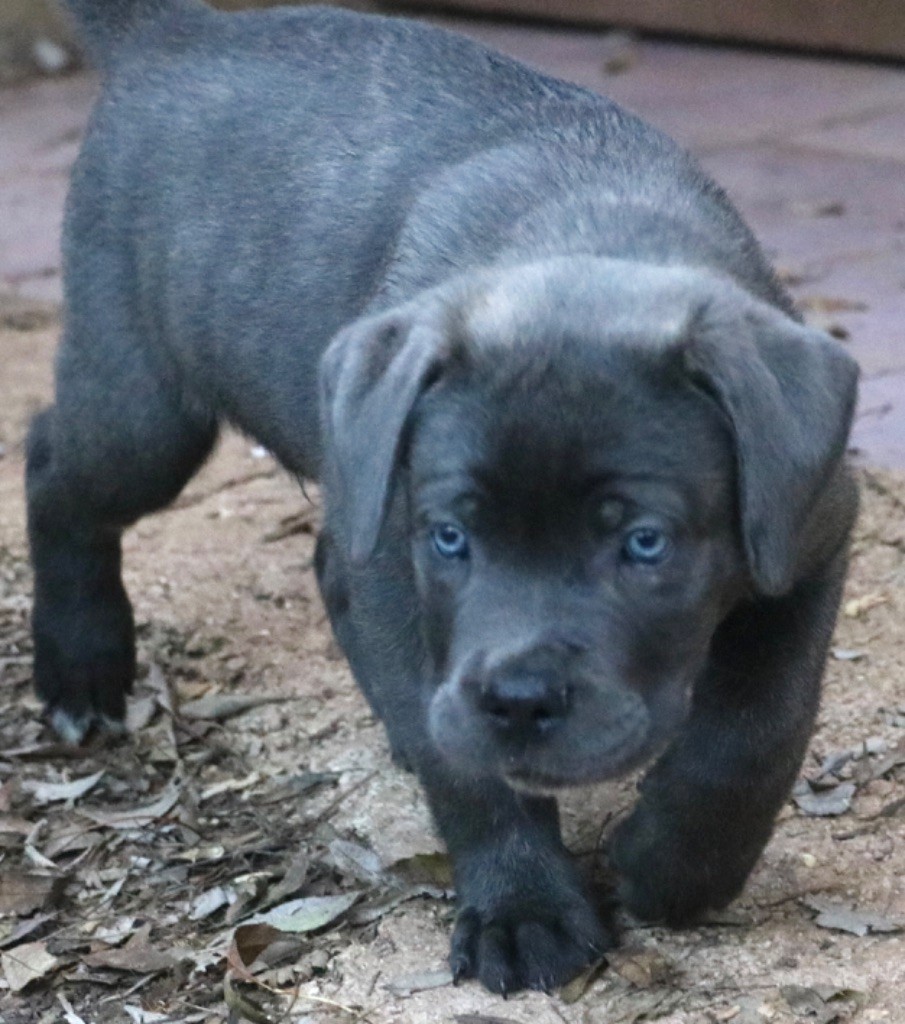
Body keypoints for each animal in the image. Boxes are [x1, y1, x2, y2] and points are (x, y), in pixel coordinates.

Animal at [31, 0, 859, 995]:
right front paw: (523, 909)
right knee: (53, 470)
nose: (518, 703)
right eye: (453, 538)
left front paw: (674, 867)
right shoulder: (404, 566)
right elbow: (468, 774)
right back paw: (80, 666)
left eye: (645, 543)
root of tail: (173, 35)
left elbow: (758, 726)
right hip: (146, 412)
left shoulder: (809, 535)